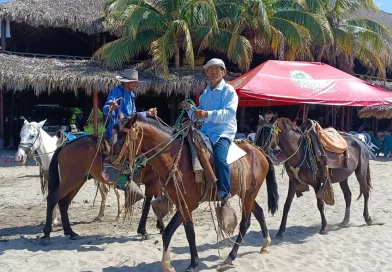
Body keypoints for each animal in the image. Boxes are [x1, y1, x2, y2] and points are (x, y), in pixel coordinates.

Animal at [102, 115, 278, 272]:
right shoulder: (182, 203)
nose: (105, 173)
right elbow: (188, 232)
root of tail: (259, 151)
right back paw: (265, 244)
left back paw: (230, 257)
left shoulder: (189, 204)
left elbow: (169, 232)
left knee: (245, 223)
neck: (178, 161)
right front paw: (191, 263)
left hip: (249, 195)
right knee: (259, 213)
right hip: (246, 194)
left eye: (122, 139)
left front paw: (174, 265)